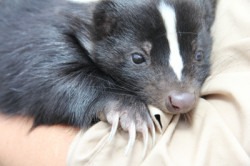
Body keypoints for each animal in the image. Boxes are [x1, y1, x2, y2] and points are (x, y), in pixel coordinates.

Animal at [0, 0, 215, 150]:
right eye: (137, 57)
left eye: (199, 55)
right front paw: (131, 113)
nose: (182, 99)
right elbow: (47, 78)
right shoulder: (36, 36)